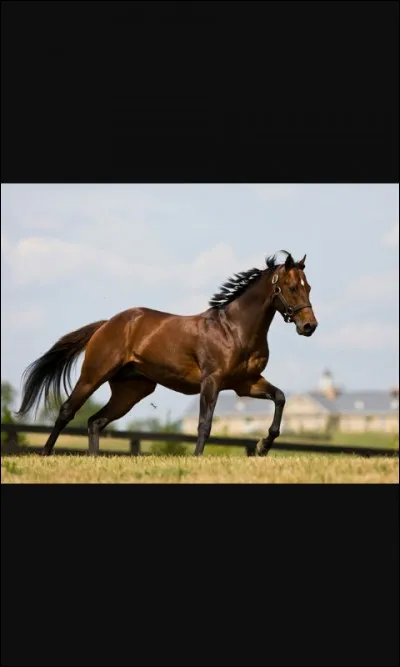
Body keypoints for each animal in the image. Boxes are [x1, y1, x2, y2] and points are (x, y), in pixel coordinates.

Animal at [17, 250, 318, 456]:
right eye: (292, 287)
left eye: (309, 287)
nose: (309, 326)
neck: (234, 329)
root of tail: (106, 324)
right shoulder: (212, 381)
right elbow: (204, 424)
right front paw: (198, 458)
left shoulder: (246, 383)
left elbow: (280, 397)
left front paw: (263, 446)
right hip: (94, 375)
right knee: (68, 411)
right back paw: (45, 454)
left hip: (132, 390)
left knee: (95, 421)